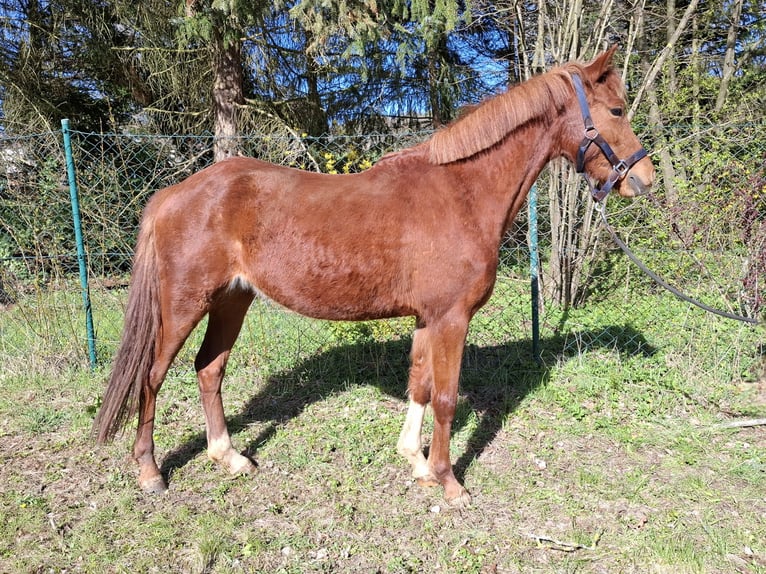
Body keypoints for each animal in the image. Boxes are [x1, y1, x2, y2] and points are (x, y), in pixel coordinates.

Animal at [94, 46, 655, 507]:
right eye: (617, 110)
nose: (643, 179)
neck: (462, 191)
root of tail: (172, 195)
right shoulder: (451, 319)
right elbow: (447, 398)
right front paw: (450, 482)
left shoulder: (429, 318)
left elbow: (420, 387)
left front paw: (418, 464)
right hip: (184, 304)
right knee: (152, 376)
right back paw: (150, 472)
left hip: (233, 300)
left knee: (209, 369)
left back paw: (229, 457)